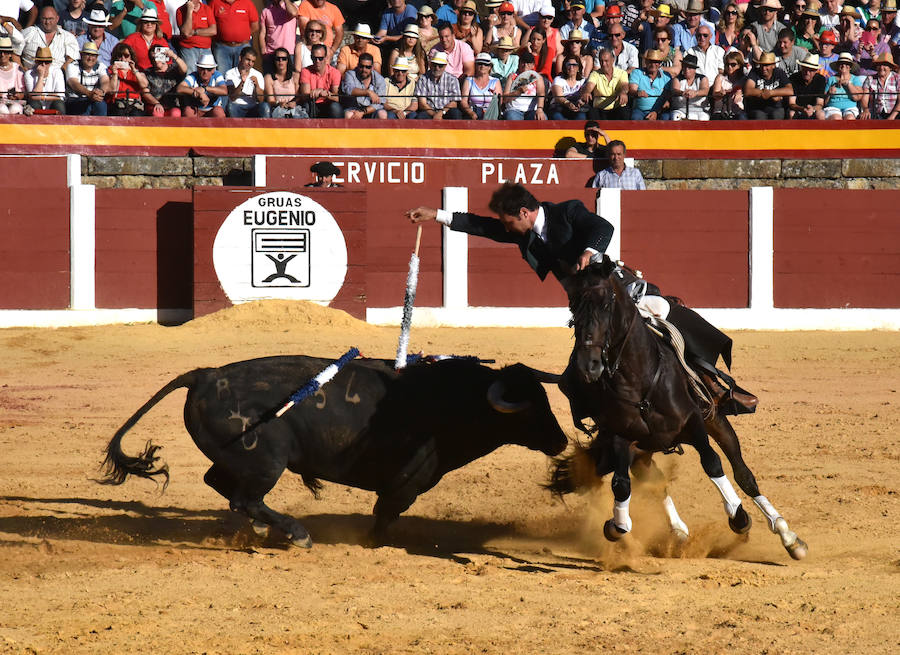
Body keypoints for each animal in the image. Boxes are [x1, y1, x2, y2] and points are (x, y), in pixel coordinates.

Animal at [102, 356, 568, 544]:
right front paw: (372, 543)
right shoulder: (406, 483)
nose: (562, 441)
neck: (456, 401)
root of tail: (205, 374)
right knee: (244, 497)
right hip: (266, 461)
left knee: (221, 484)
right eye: (530, 409)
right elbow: (384, 517)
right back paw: (296, 534)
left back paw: (261, 530)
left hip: (242, 460)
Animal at [548, 258, 808, 560]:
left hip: (716, 421)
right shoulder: (618, 436)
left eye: (606, 304)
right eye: (573, 308)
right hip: (643, 450)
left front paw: (739, 517)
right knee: (656, 482)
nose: (589, 366)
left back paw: (788, 536)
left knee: (743, 474)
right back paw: (679, 532)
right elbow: (621, 485)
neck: (639, 380)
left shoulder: (694, 422)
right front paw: (616, 525)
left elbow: (713, 463)